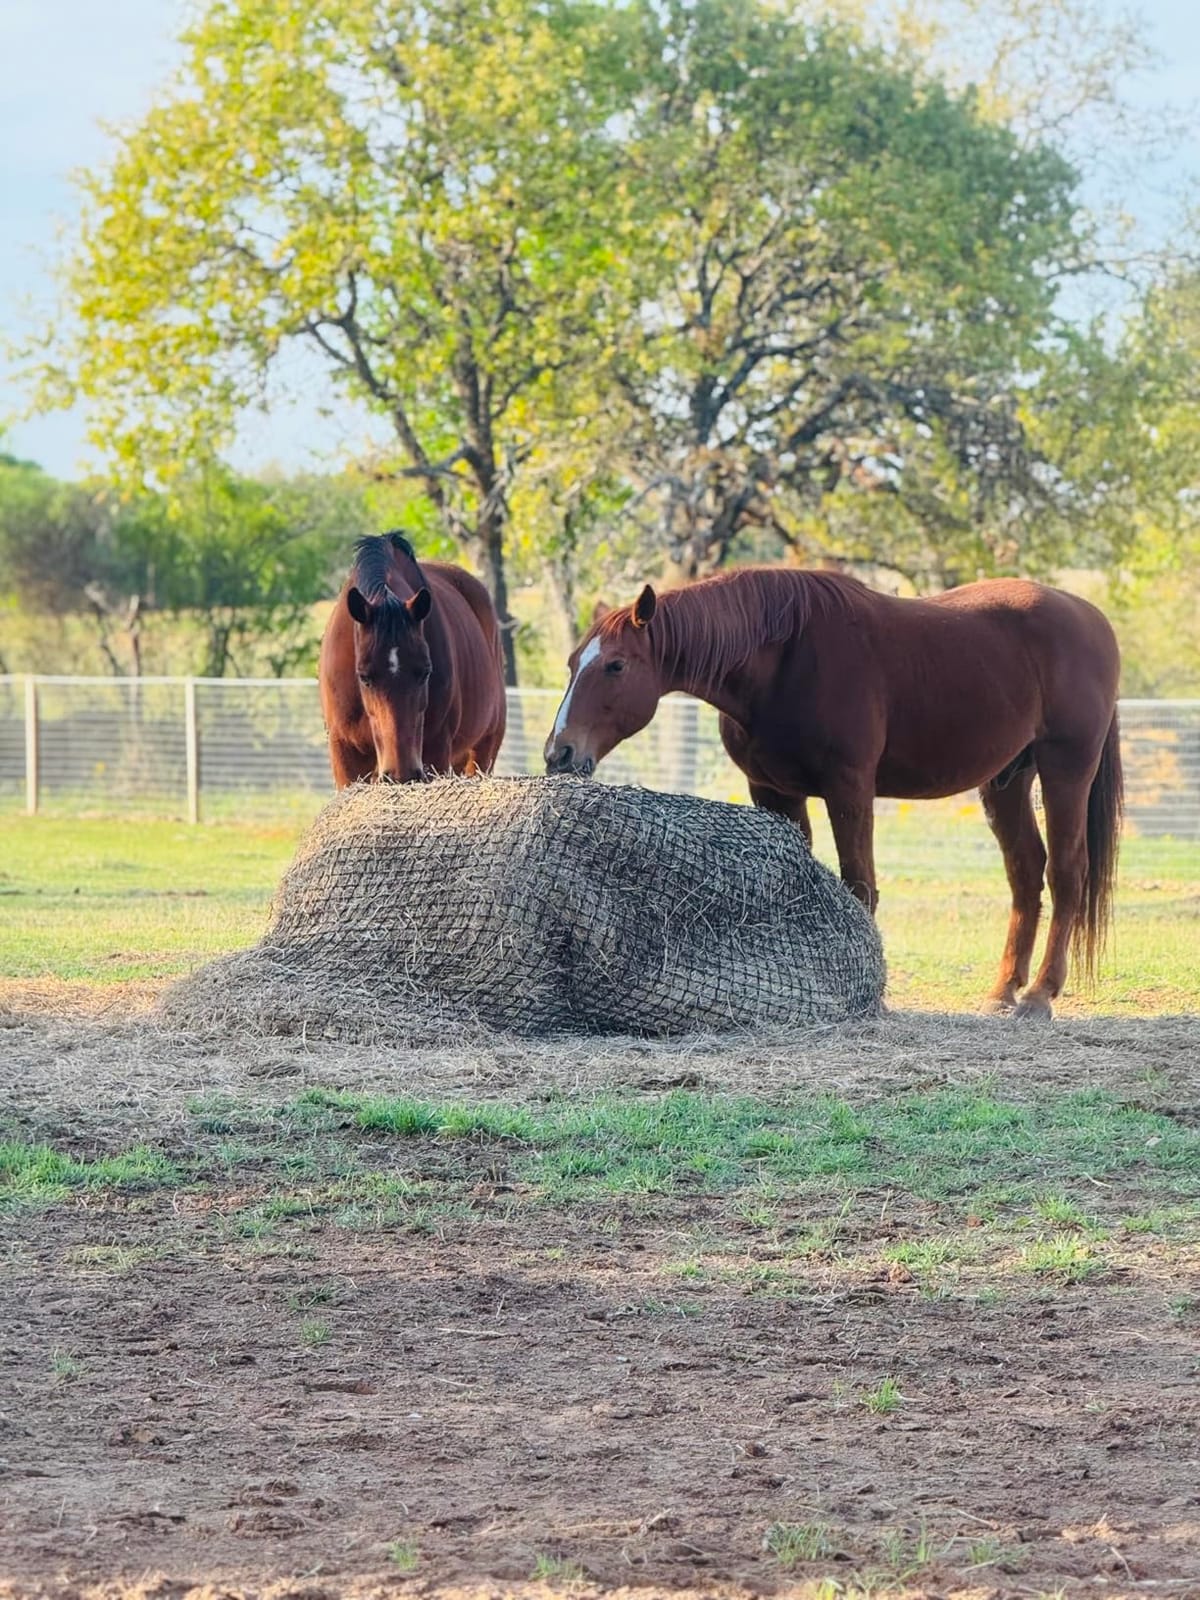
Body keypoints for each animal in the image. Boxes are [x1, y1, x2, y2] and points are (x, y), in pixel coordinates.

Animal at [319, 532, 506, 786]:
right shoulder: (344, 751)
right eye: (364, 677)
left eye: (425, 672)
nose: (402, 774)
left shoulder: (436, 750)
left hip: (483, 749)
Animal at [544, 568, 1122, 1019]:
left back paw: (1040, 995)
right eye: (571, 662)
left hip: (1066, 767)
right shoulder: (773, 791)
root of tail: (1089, 617)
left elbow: (859, 885)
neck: (783, 658)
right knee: (1026, 872)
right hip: (1006, 780)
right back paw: (1004, 990)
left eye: (616, 665)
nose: (560, 753)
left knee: (1066, 872)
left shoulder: (850, 788)